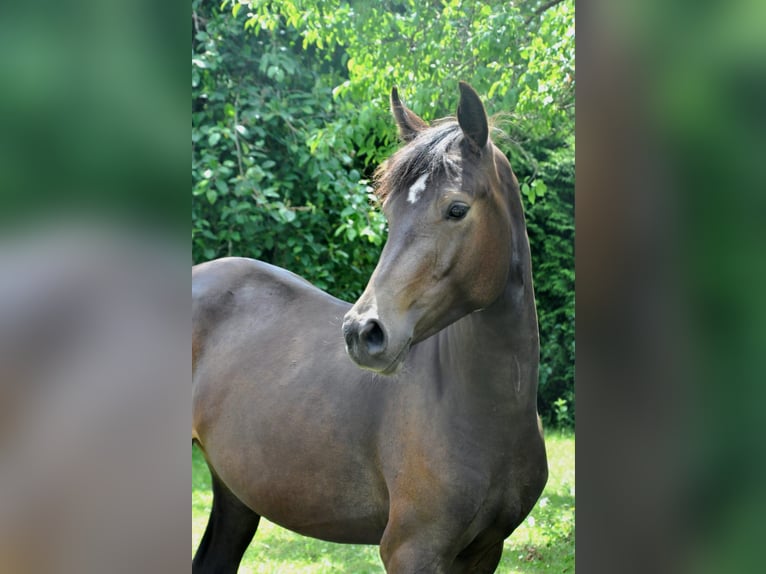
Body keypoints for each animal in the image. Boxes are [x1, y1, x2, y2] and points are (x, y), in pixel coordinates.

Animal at [192, 81, 548, 573]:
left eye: (457, 209)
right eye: (389, 212)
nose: (363, 333)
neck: (487, 412)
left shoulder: (484, 552)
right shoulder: (412, 551)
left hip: (235, 493)